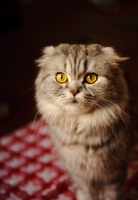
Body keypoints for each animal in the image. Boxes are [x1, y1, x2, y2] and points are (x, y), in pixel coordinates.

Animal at [35, 44, 133, 200]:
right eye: (61, 77)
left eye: (91, 78)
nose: (74, 91)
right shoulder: (79, 174)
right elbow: (86, 195)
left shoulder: (114, 173)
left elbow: (112, 195)